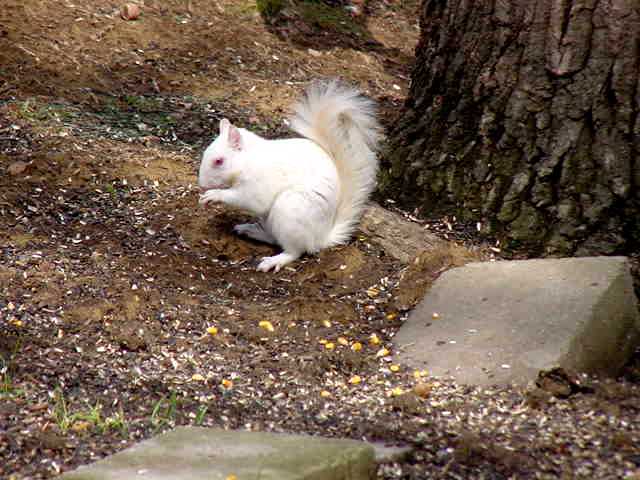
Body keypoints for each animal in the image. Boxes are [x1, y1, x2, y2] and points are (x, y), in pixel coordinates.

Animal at [198, 80, 380, 272]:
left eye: (219, 161)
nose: (201, 184)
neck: (249, 159)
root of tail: (321, 237)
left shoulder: (259, 182)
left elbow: (249, 199)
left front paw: (214, 195)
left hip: (290, 213)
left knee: (294, 251)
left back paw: (275, 260)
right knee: (273, 238)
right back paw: (250, 230)